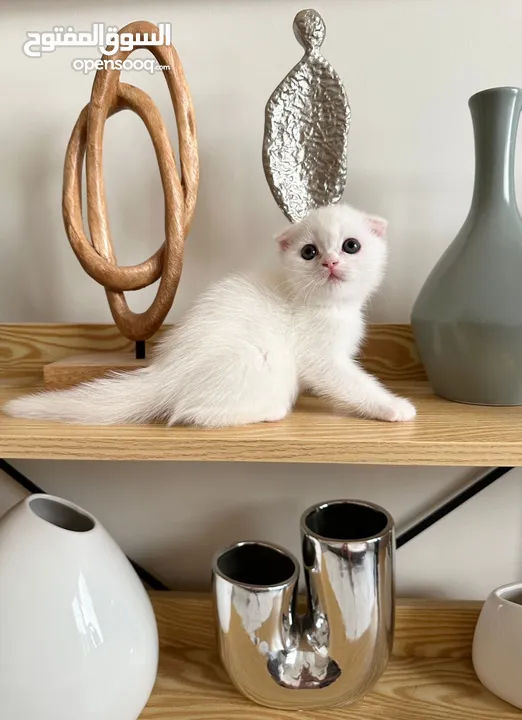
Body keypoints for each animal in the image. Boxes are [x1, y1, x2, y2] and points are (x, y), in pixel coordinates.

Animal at [2, 202, 412, 424]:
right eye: (309, 252)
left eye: (351, 245)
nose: (330, 262)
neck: (330, 307)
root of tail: (165, 373)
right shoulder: (322, 359)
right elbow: (353, 384)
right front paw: (393, 406)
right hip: (261, 358)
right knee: (189, 412)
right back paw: (272, 410)